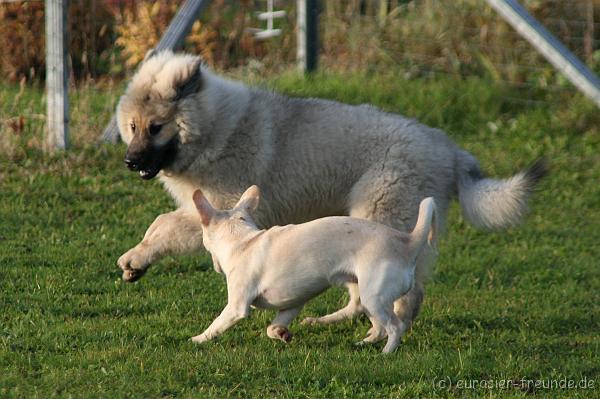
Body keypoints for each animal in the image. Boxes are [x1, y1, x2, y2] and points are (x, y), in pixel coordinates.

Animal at [115, 50, 548, 332]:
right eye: (133, 127)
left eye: (156, 127)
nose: (130, 162)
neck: (217, 127)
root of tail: (450, 149)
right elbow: (163, 222)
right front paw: (137, 262)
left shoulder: (222, 207)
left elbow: (164, 225)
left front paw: (136, 258)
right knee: (367, 296)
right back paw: (326, 320)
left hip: (381, 216)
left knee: (397, 295)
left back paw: (382, 331)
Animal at [191, 186, 436, 354]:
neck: (244, 241)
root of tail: (407, 243)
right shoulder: (292, 304)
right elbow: (272, 327)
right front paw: (282, 334)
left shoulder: (236, 308)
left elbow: (217, 324)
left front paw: (197, 339)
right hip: (369, 299)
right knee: (379, 328)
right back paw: (362, 343)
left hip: (375, 297)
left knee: (395, 327)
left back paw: (387, 352)